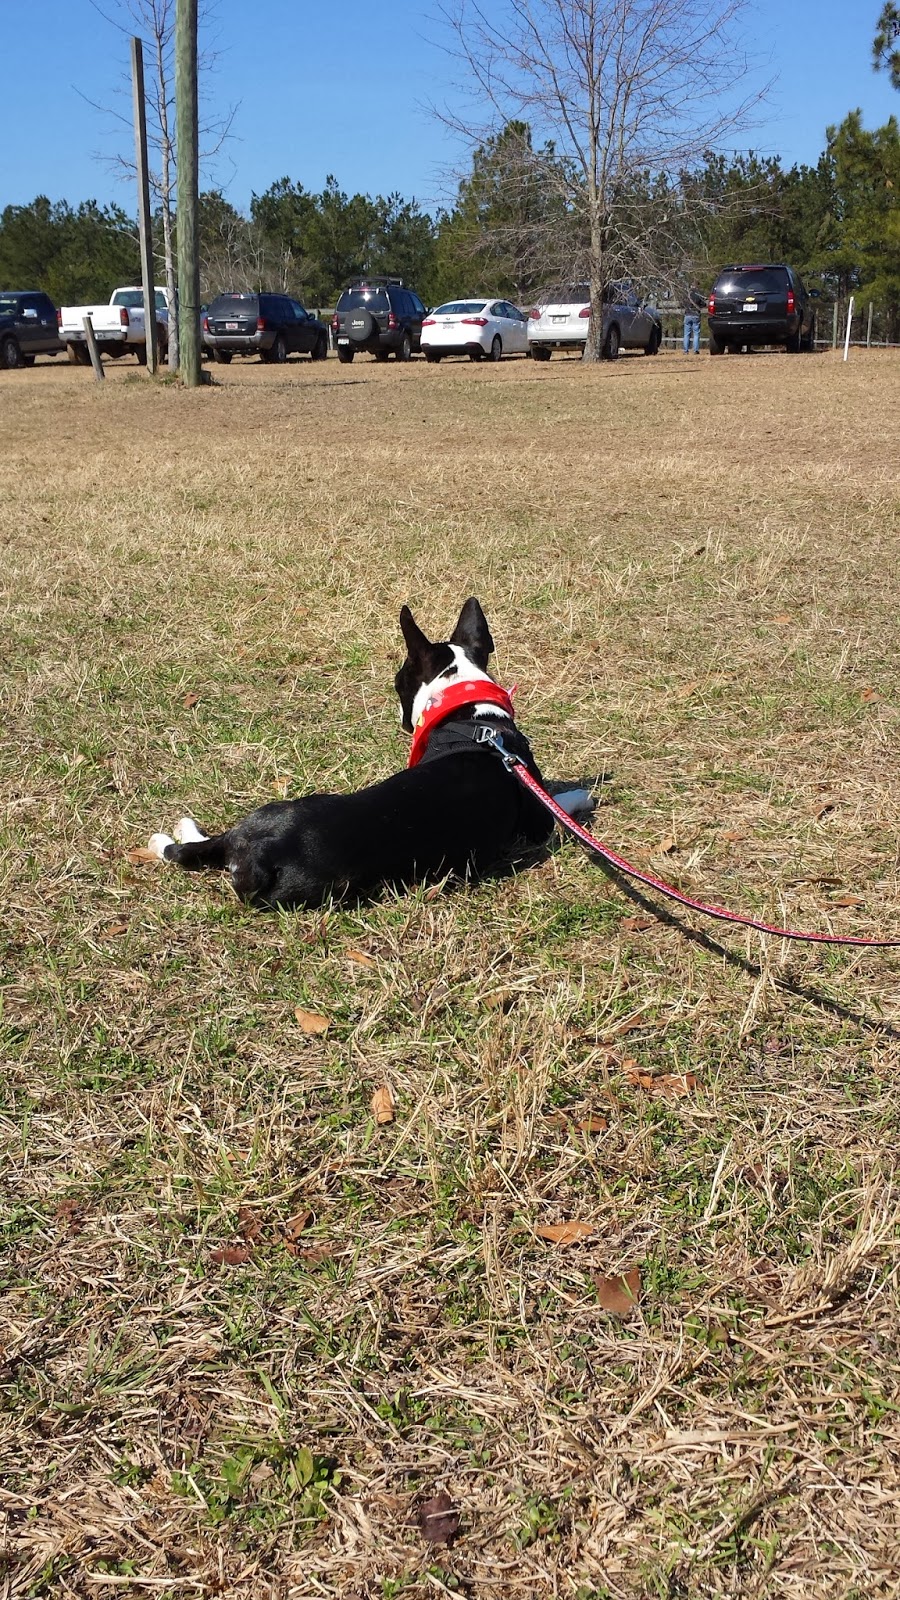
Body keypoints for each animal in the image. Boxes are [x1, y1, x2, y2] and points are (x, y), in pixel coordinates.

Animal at [147, 598, 592, 909]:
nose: (401, 720)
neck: (472, 715)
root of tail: (256, 850)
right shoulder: (537, 822)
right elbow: (559, 802)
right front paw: (579, 795)